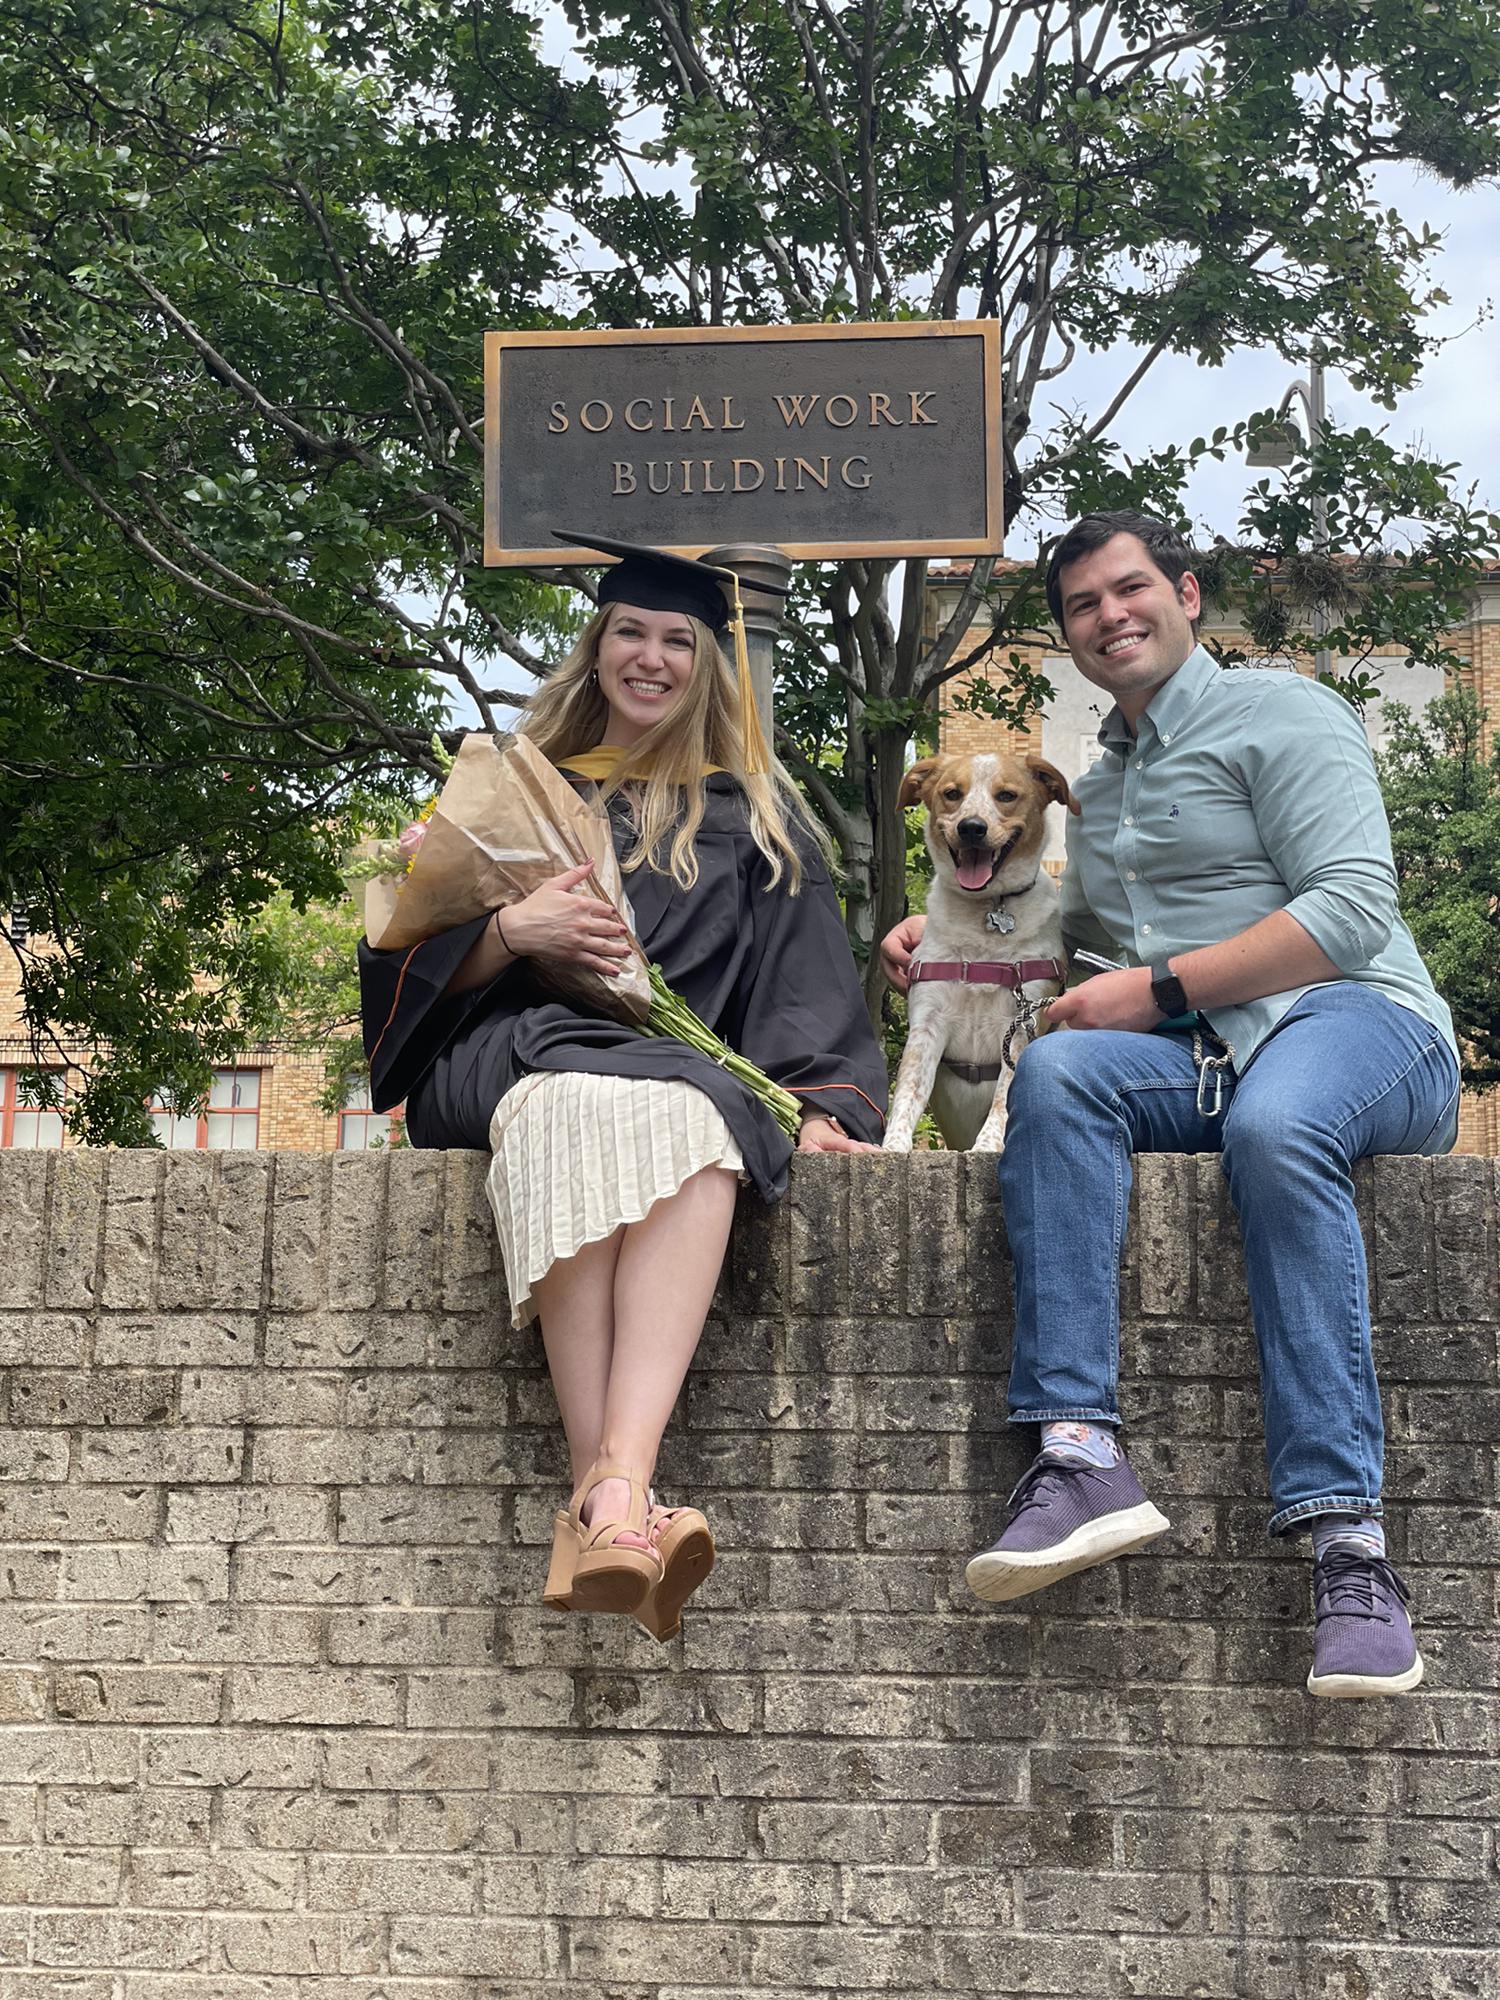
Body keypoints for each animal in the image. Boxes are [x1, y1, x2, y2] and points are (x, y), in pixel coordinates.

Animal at [880, 752, 1080, 1160]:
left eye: (1006, 795)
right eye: (952, 794)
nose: (972, 827)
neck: (988, 911)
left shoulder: (1021, 1020)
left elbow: (1005, 1094)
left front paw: (988, 1146)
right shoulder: (927, 1023)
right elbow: (907, 1093)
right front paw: (892, 1147)